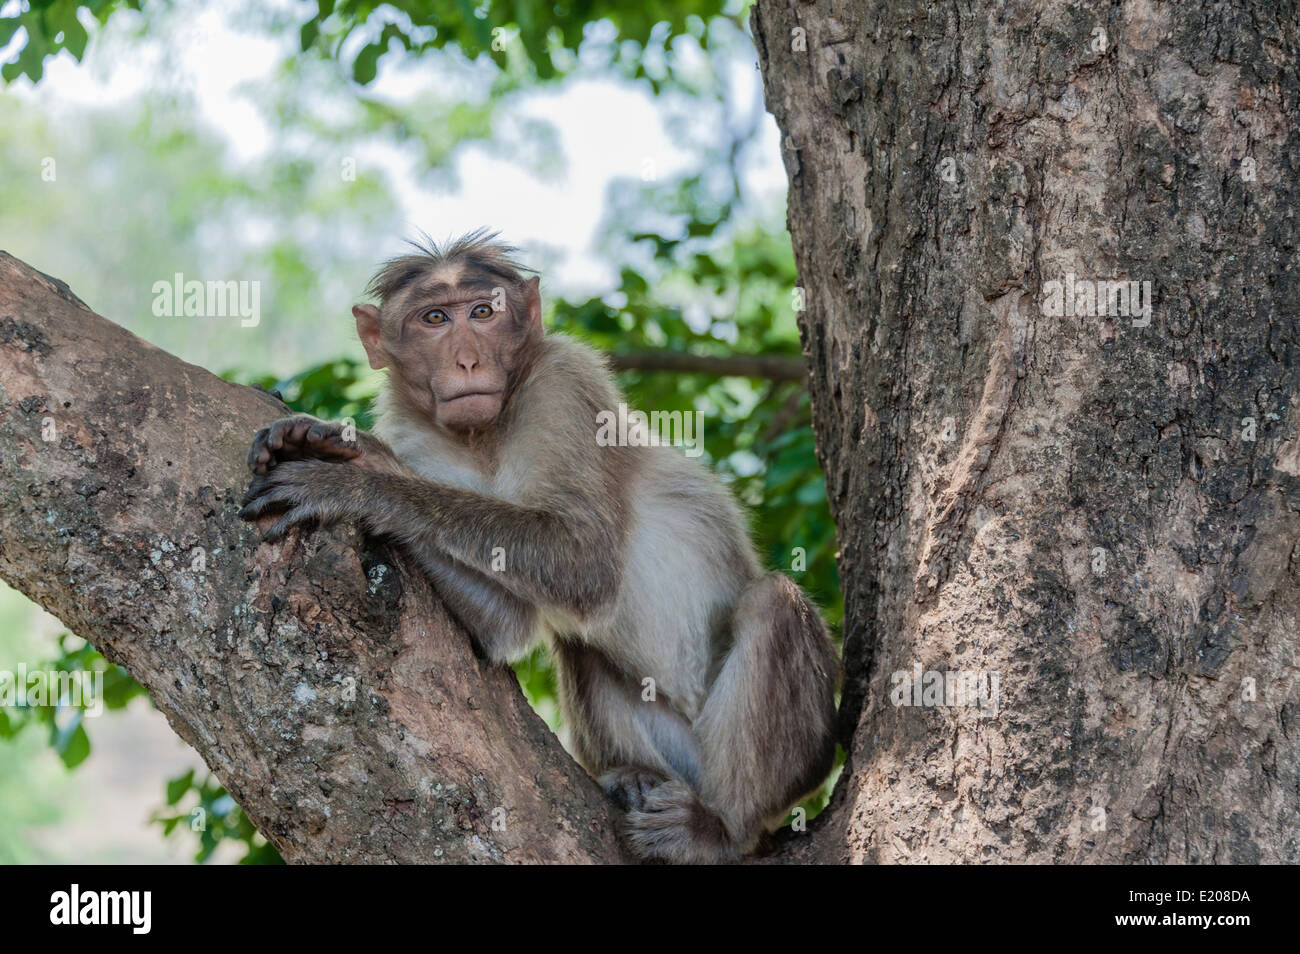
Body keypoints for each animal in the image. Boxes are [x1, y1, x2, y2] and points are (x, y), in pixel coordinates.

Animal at [240, 230, 838, 863]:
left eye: (483, 312)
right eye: (434, 318)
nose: (467, 359)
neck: (482, 436)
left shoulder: (563, 382)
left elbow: (583, 563)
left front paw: (354, 484)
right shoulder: (416, 433)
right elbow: (504, 626)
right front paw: (355, 452)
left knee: (771, 602)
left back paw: (722, 830)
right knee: (581, 647)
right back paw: (633, 777)